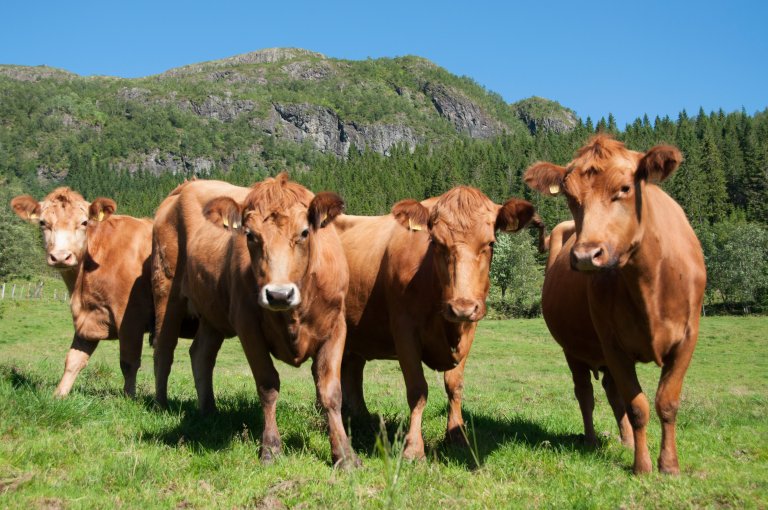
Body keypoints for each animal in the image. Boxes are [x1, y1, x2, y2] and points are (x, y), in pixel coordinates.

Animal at [524, 134, 704, 474]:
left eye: (625, 188)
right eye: (570, 196)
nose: (585, 255)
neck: (650, 281)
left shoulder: (687, 338)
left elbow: (667, 402)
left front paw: (669, 464)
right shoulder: (613, 344)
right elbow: (637, 406)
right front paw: (642, 466)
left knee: (610, 391)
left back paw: (626, 441)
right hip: (574, 349)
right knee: (586, 393)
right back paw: (593, 440)